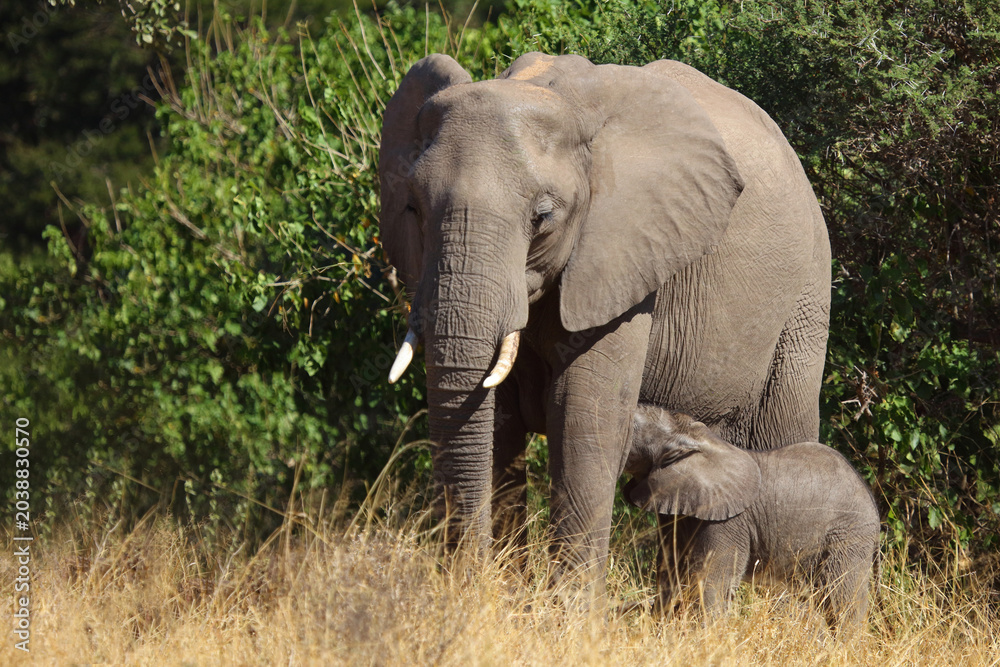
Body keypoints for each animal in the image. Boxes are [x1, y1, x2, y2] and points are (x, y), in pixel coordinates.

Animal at [378, 51, 831, 600]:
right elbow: (498, 425)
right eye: (413, 208)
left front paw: (567, 612)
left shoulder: (624, 256)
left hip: (804, 301)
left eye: (543, 217)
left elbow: (583, 421)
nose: (468, 581)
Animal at [625, 404, 880, 633]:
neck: (698, 437)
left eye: (635, 426)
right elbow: (670, 574)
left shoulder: (728, 523)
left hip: (849, 536)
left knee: (842, 603)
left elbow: (711, 586)